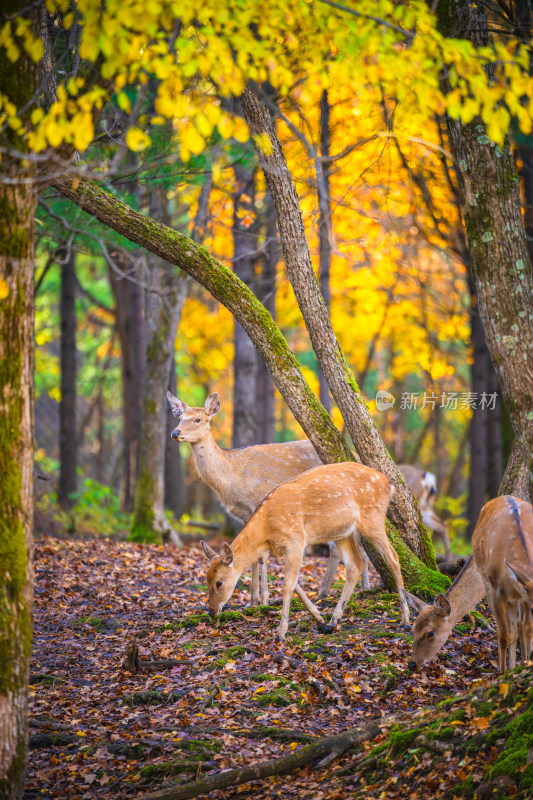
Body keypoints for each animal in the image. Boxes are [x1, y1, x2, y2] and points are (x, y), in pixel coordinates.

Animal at [168, 390, 368, 604]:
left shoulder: (259, 501)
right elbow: (254, 555)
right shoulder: (244, 514)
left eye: (198, 419)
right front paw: (252, 601)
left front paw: (263, 600)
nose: (175, 433)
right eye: (179, 418)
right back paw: (326, 592)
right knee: (339, 546)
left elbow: (262, 556)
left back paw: (362, 587)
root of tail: (356, 456)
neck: (231, 479)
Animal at [200, 460, 408, 640]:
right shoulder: (284, 548)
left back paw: (405, 620)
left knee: (393, 557)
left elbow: (287, 584)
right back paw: (334, 621)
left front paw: (281, 633)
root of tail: (388, 482)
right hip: (341, 532)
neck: (267, 530)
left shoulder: (296, 540)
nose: (211, 611)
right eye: (206, 579)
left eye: (219, 582)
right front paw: (321, 622)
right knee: (355, 565)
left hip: (372, 518)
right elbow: (295, 584)